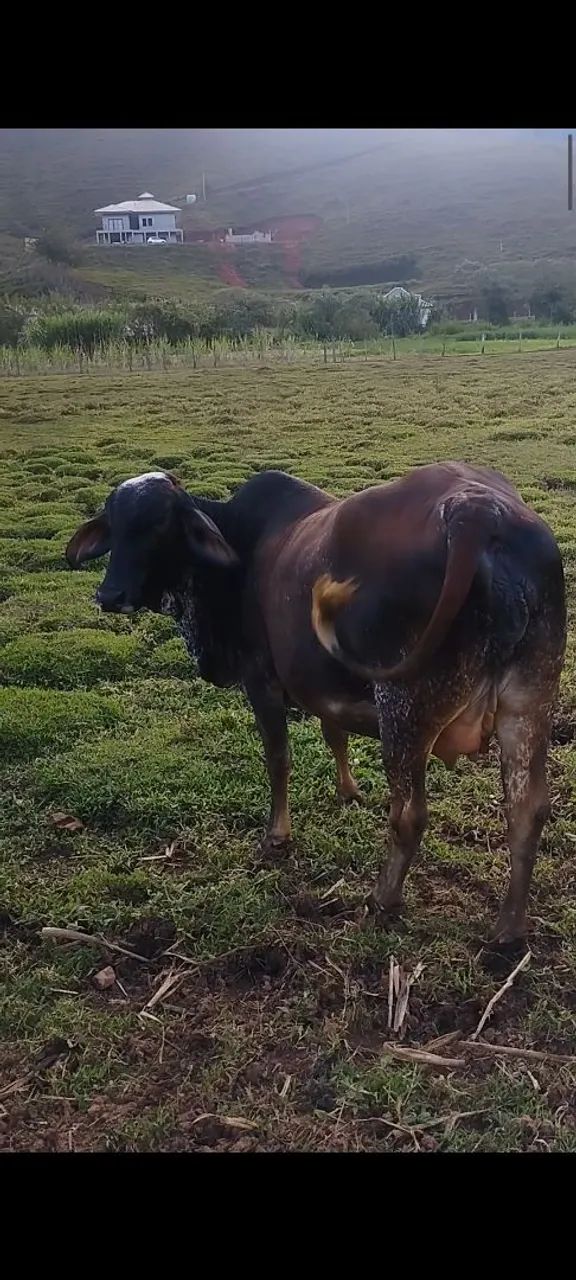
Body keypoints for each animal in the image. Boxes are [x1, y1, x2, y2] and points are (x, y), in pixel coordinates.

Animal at [66, 462, 566, 946]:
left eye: (158, 525)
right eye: (113, 524)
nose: (110, 595)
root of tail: (475, 514)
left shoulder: (261, 681)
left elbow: (278, 759)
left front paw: (277, 835)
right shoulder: (322, 686)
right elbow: (334, 734)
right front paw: (348, 791)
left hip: (404, 710)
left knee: (409, 815)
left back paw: (383, 899)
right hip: (530, 701)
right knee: (527, 810)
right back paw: (508, 929)